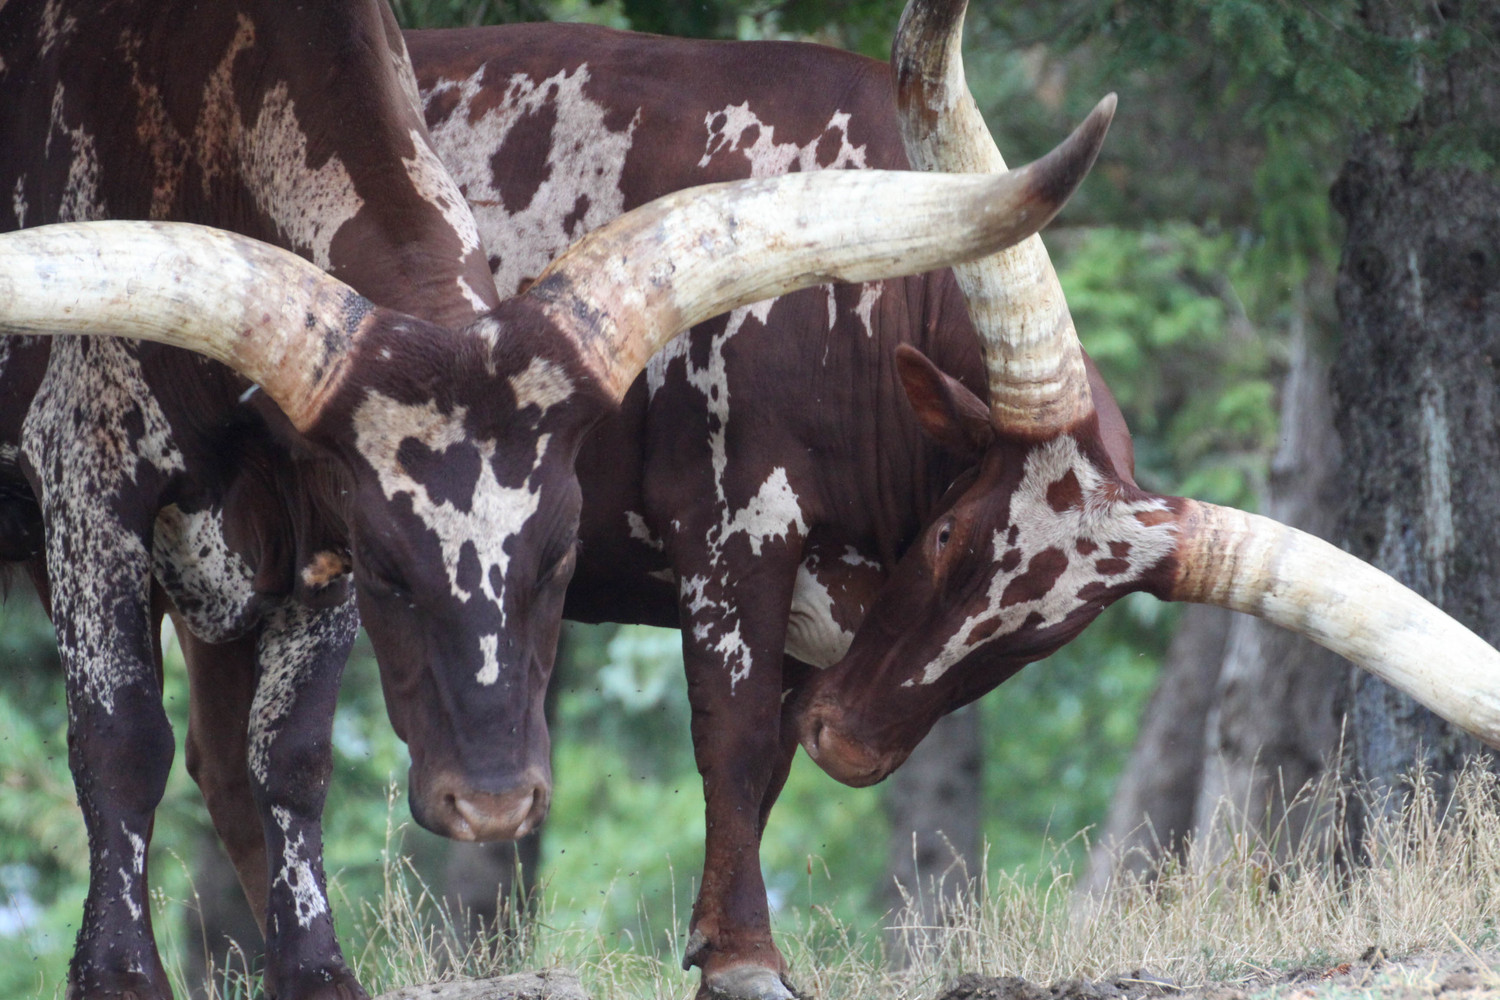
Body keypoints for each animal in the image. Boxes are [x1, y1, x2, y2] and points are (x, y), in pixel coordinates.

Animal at [0, 3, 1104, 995]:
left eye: (562, 556)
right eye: (392, 572)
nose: (493, 805)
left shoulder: (312, 532)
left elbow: (290, 757)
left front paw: (315, 974)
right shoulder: (91, 490)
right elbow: (120, 742)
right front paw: (118, 976)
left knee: (227, 765)